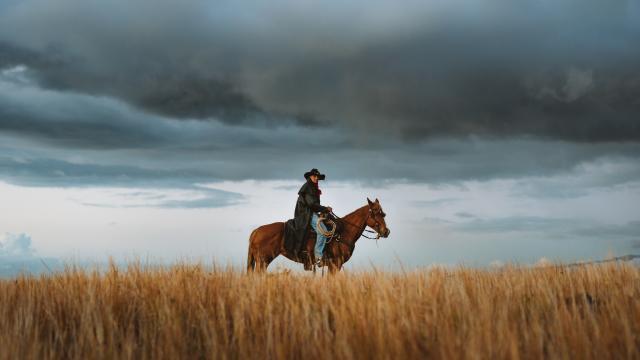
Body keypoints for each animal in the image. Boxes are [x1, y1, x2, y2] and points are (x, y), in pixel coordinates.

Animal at [246, 197, 390, 272]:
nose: (386, 231)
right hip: (263, 261)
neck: (343, 232)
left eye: (383, 213)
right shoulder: (335, 264)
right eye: (375, 212)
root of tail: (256, 231)